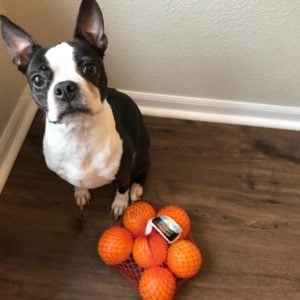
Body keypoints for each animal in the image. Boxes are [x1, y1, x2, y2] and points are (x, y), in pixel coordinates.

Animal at [0, 0, 150, 217]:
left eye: (89, 68)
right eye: (37, 80)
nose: (65, 88)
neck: (78, 133)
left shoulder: (124, 169)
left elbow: (122, 187)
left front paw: (120, 203)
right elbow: (77, 182)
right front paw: (80, 192)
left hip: (142, 153)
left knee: (141, 171)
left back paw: (136, 188)